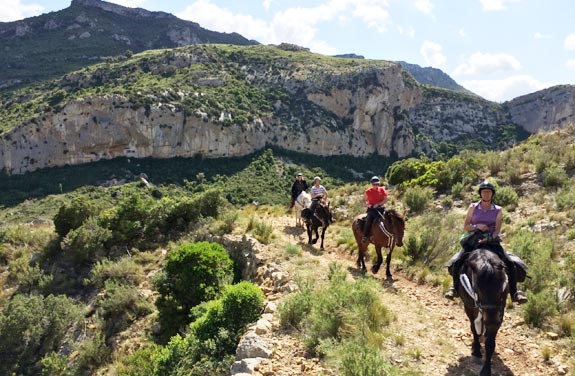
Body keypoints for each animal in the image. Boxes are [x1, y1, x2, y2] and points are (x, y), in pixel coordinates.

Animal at [454, 245, 508, 374]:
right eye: (478, 288)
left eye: (501, 286)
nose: (492, 322)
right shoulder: (468, 307)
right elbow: (474, 328)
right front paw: (477, 352)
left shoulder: (500, 310)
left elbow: (490, 342)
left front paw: (486, 369)